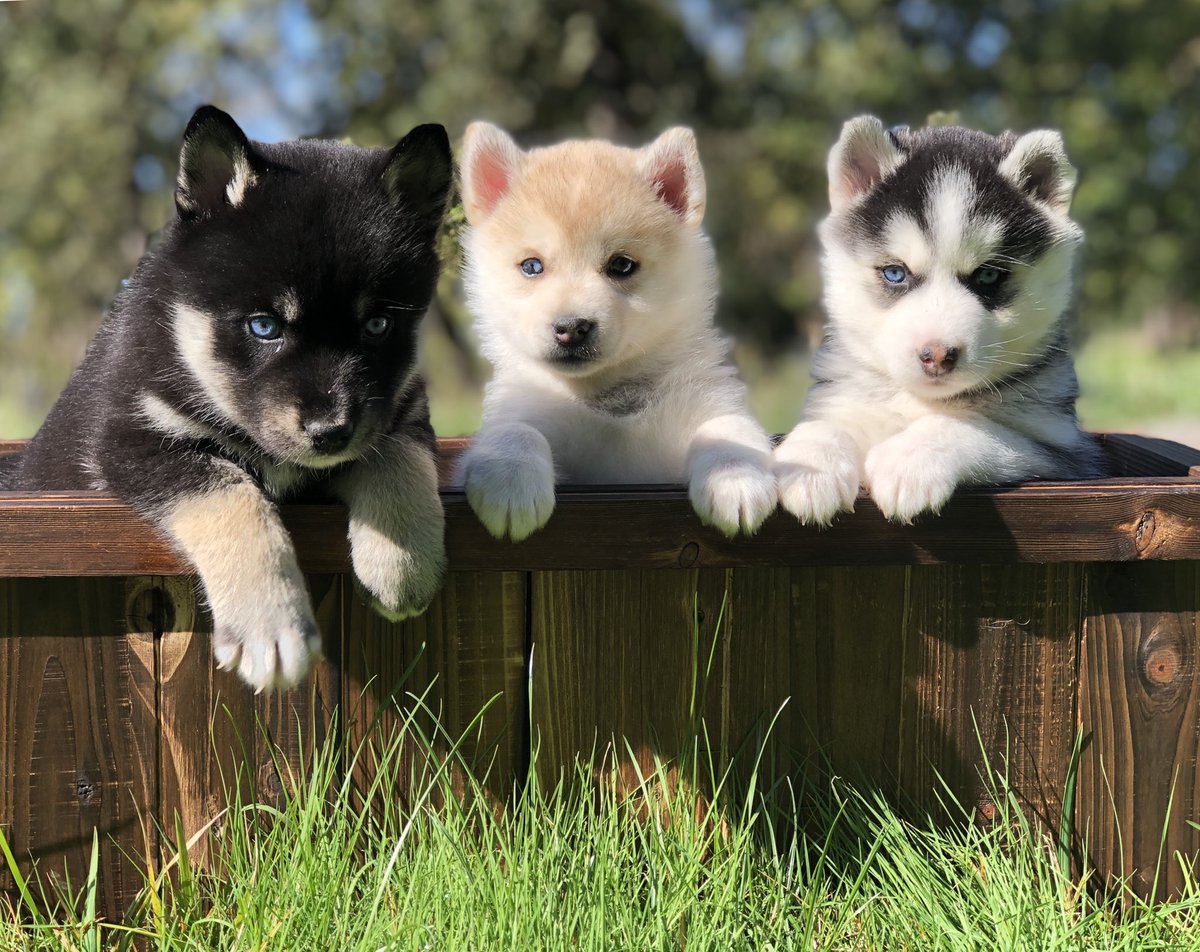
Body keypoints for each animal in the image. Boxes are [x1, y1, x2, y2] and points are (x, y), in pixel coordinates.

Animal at [3, 105, 453, 691]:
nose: (331, 432)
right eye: (264, 327)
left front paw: (402, 563)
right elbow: (233, 499)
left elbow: (397, 452)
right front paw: (272, 625)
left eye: (378, 326)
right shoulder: (134, 438)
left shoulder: (401, 408)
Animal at [453, 124, 772, 542]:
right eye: (532, 266)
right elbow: (515, 431)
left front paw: (735, 476)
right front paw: (510, 480)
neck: (607, 399)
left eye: (621, 265)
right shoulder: (521, 411)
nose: (571, 328)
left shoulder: (705, 402)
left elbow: (729, 428)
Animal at [772, 117, 1099, 528]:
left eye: (988, 275)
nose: (938, 355)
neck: (921, 401)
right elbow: (827, 422)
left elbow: (974, 426)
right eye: (895, 273)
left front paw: (911, 460)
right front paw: (812, 462)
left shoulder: (1061, 452)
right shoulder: (843, 397)